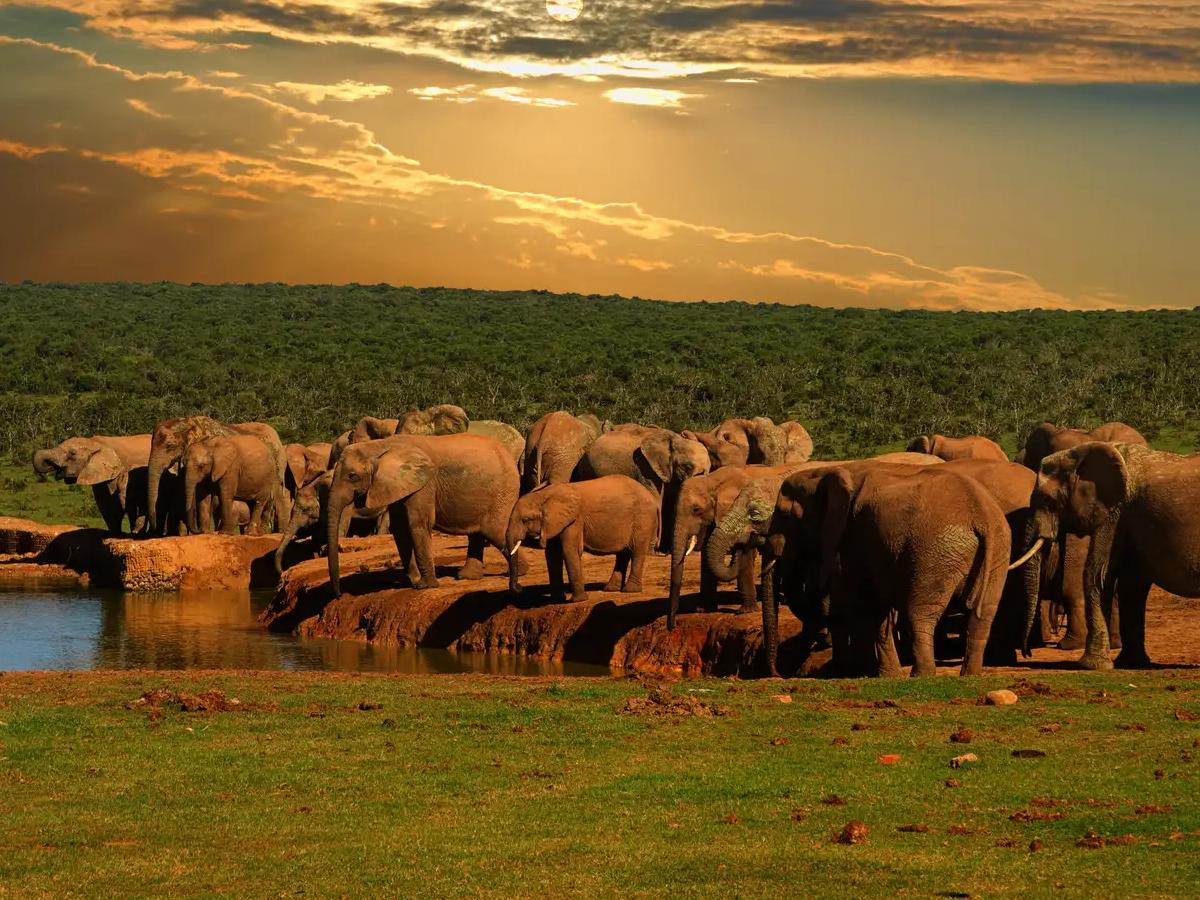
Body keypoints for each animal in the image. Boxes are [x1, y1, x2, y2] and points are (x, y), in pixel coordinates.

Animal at [32, 434, 160, 534]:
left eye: (72, 453)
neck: (93, 442)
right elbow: (105, 505)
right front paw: (115, 534)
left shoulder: (116, 470)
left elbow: (117, 505)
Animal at [146, 416, 288, 536]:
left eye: (170, 446)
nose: (155, 530)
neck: (189, 421)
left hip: (275, 471)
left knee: (268, 500)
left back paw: (259, 533)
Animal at [326, 433, 521, 596]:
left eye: (352, 476)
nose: (339, 594)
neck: (380, 445)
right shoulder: (399, 484)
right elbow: (400, 528)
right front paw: (415, 582)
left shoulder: (425, 483)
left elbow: (417, 524)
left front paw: (425, 585)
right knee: (479, 532)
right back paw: (468, 577)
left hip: (503, 490)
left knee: (494, 531)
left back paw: (518, 573)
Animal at [506, 475, 659, 603]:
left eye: (526, 520)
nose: (520, 587)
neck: (544, 495)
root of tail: (650, 495)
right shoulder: (554, 523)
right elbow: (552, 555)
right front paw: (557, 599)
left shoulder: (574, 520)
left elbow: (569, 551)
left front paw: (578, 600)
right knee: (623, 554)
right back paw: (611, 589)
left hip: (643, 519)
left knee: (637, 551)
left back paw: (630, 590)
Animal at [1020, 442, 1200, 670]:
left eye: (1047, 500)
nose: (1027, 653)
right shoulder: (1129, 518)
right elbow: (1131, 585)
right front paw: (1131, 663)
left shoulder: (1115, 512)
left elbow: (1098, 574)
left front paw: (1090, 666)